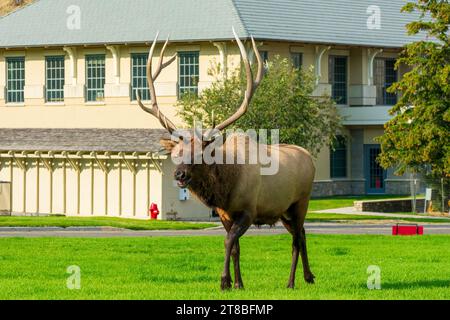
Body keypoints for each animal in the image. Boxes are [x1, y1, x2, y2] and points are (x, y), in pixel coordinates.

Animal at [137, 29, 316, 290]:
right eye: (176, 153)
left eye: (199, 155)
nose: (179, 174)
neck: (225, 189)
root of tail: (310, 158)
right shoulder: (224, 214)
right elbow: (235, 248)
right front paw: (238, 283)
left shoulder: (249, 209)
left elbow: (228, 241)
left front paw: (224, 281)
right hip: (284, 210)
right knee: (301, 234)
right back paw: (309, 277)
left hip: (301, 201)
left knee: (296, 239)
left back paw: (291, 282)